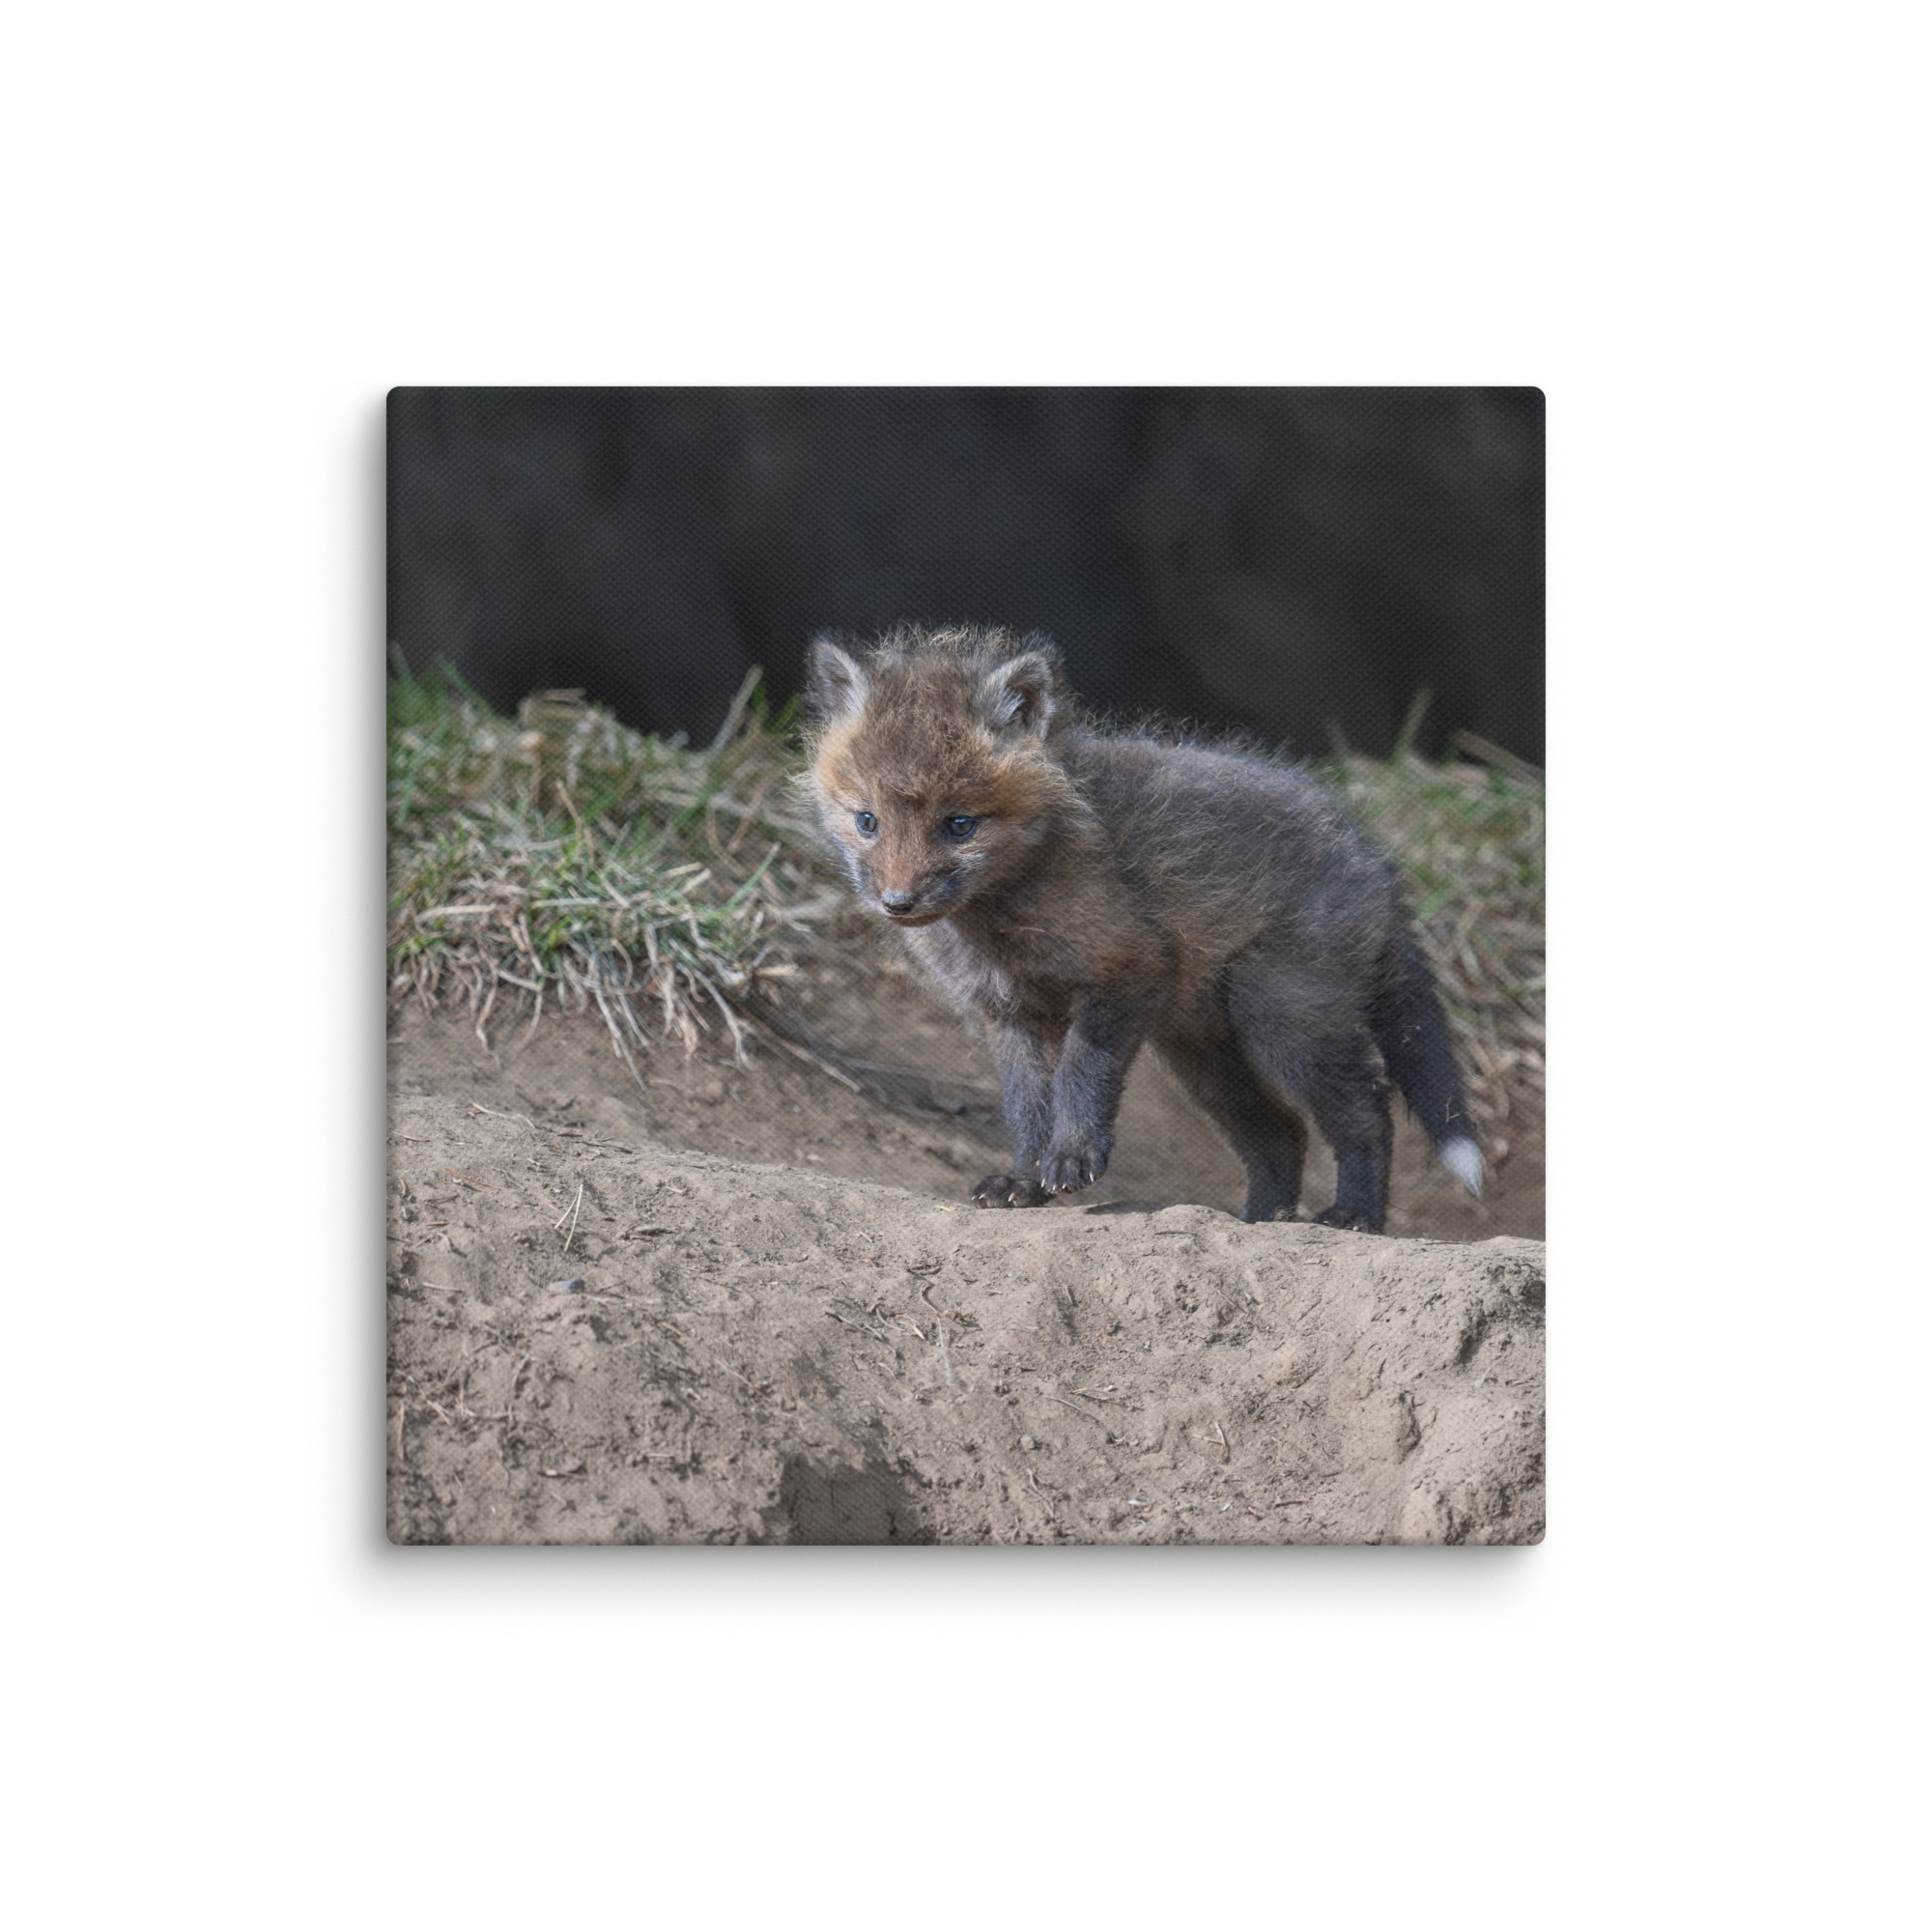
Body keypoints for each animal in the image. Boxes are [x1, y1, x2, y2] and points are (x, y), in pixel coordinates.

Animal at [802, 624, 1483, 1232]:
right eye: (867, 821)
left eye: (959, 825)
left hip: (1283, 1020)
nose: (897, 902)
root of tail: (1373, 856)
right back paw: (1261, 1220)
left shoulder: (1124, 967)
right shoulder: (1009, 1013)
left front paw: (1072, 1157)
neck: (1000, 924)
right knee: (1282, 1134)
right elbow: (1027, 1107)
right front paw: (1023, 1180)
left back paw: (1355, 1215)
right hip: (1204, 1055)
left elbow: (1081, 1074)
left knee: (1368, 1111)